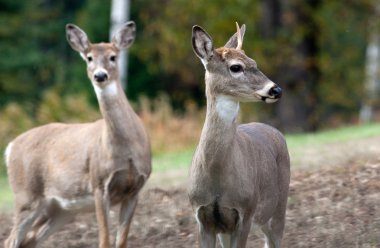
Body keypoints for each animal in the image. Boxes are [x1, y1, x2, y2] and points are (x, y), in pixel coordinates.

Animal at [4, 21, 151, 248]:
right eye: (89, 58)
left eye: (113, 56)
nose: (100, 75)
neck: (127, 149)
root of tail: (9, 147)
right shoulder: (99, 183)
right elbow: (104, 240)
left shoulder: (135, 188)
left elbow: (121, 242)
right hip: (26, 196)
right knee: (11, 240)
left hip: (60, 210)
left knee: (28, 241)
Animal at [189, 23, 290, 248]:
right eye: (236, 67)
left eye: (254, 62)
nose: (276, 90)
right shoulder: (202, 216)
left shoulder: (246, 212)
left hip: (278, 206)